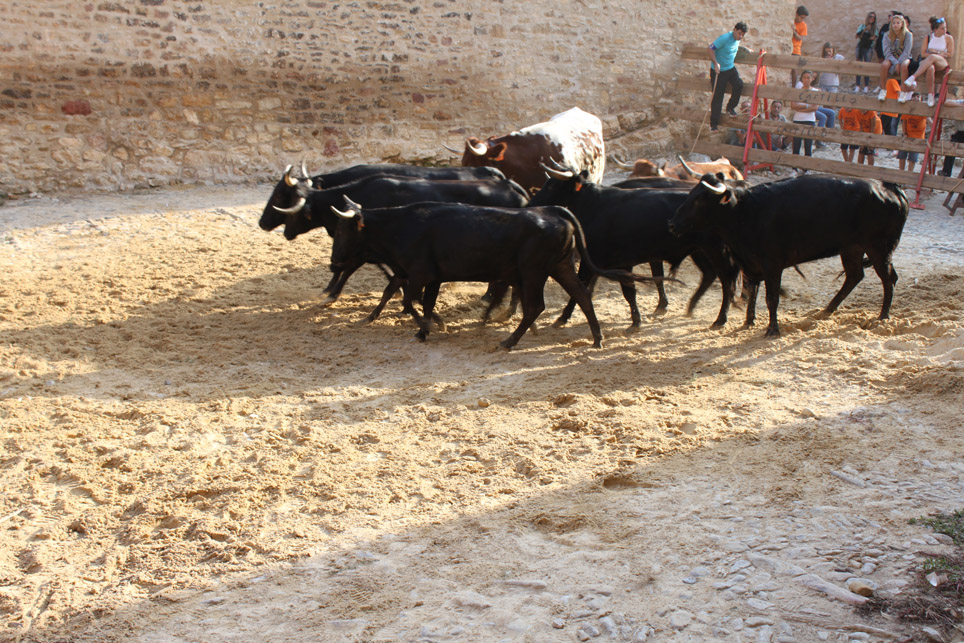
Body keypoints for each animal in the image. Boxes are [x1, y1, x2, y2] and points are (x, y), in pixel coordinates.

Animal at [327, 200, 661, 350]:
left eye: (342, 231)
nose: (333, 263)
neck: (401, 226)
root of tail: (552, 210)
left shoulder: (419, 274)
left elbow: (410, 303)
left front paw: (430, 326)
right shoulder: (432, 278)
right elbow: (425, 303)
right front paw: (427, 329)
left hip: (533, 271)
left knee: (536, 306)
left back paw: (509, 341)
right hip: (560, 266)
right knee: (581, 295)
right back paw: (597, 339)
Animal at [527, 166, 740, 330]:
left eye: (553, 185)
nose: (531, 204)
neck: (594, 205)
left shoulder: (599, 263)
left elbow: (581, 289)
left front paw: (563, 317)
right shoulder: (611, 264)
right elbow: (624, 292)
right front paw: (636, 320)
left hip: (716, 250)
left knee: (726, 281)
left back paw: (720, 319)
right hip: (699, 251)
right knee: (710, 274)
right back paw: (691, 307)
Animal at [668, 173, 909, 337]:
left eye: (700, 199)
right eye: (690, 194)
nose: (672, 223)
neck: (746, 212)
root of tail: (890, 187)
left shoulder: (772, 265)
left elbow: (771, 297)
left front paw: (772, 329)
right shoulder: (750, 264)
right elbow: (752, 292)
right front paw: (748, 322)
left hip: (879, 248)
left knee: (888, 278)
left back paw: (883, 316)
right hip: (852, 248)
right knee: (854, 275)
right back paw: (827, 310)